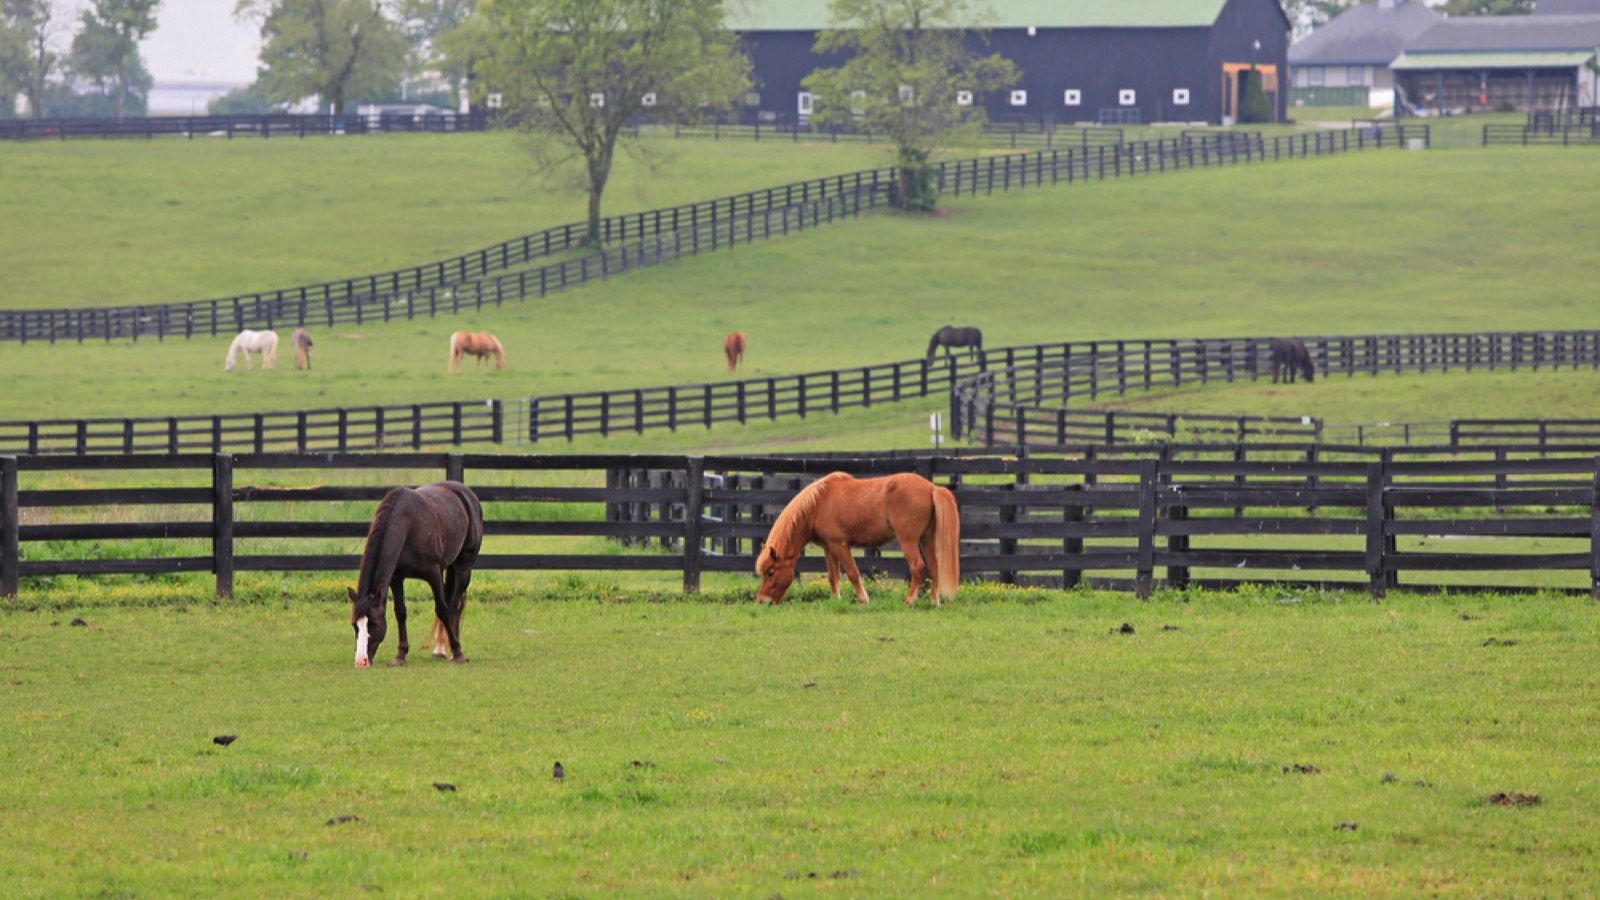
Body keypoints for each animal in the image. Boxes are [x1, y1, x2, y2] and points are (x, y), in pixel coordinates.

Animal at [348, 481, 484, 668]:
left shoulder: (433, 574)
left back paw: (454, 650)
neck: (407, 526)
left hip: (464, 567)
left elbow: (442, 609)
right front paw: (400, 655)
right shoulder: (396, 578)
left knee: (454, 605)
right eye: (355, 625)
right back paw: (440, 649)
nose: (361, 661)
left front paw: (458, 652)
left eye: (373, 623)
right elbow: (400, 612)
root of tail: (466, 493)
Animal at [755, 471, 960, 607]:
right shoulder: (829, 548)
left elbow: (853, 572)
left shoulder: (840, 545)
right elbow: (833, 576)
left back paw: (909, 601)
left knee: (917, 567)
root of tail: (932, 488)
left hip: (908, 541)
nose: (762, 601)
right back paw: (934, 601)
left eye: (771, 572)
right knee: (933, 567)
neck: (818, 503)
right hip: (927, 539)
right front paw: (836, 599)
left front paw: (863, 599)